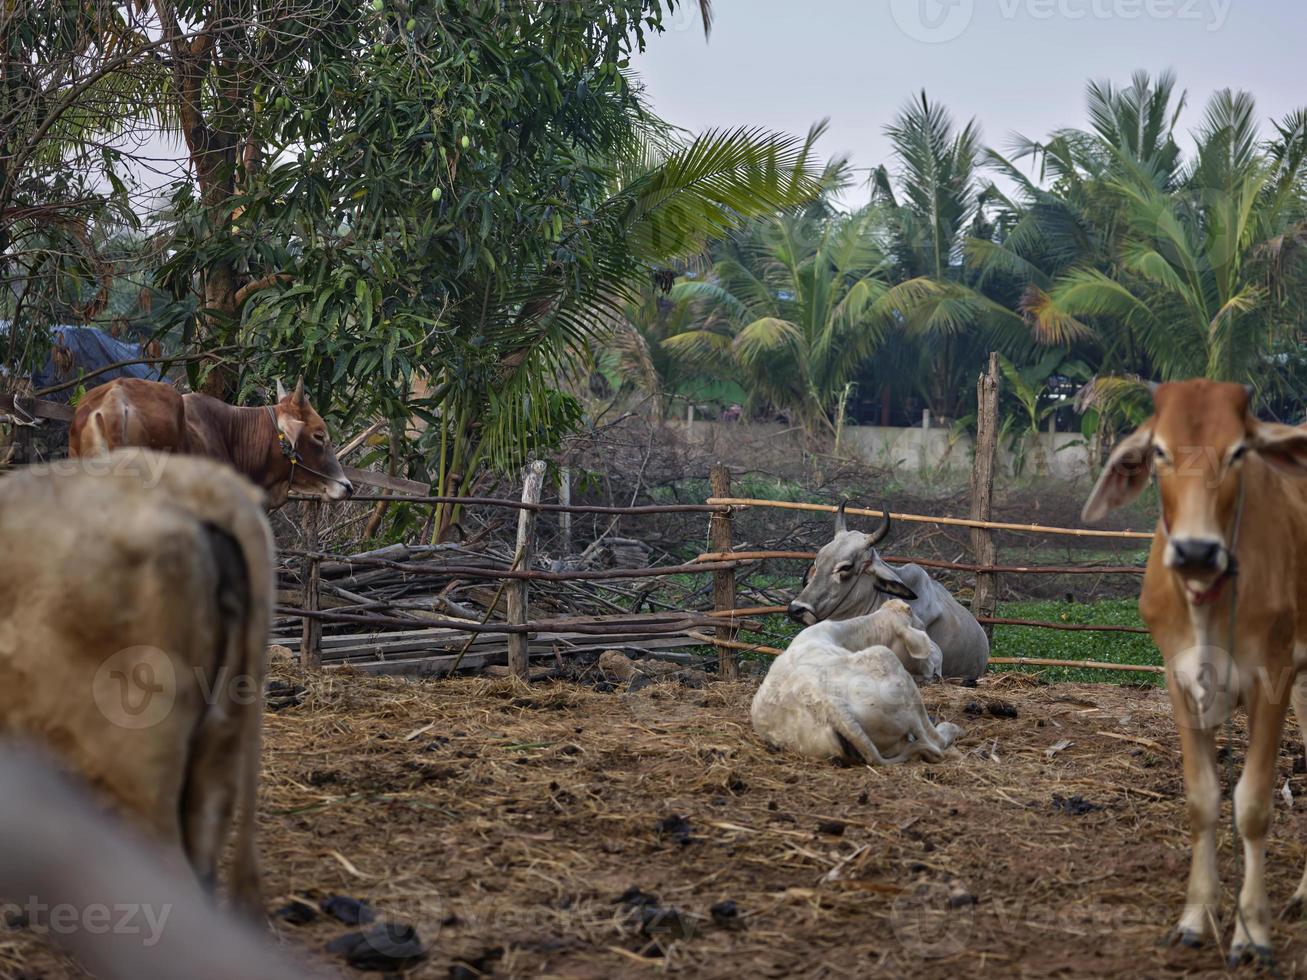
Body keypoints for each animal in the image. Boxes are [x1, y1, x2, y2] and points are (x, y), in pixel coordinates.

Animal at [747, 598, 961, 768]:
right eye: (922, 628)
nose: (937, 663)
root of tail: (825, 701)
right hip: (892, 668)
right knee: (933, 739)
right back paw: (951, 730)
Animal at [1082, 381, 1307, 966]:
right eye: (1159, 451)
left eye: (1239, 451)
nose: (1196, 550)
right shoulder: (1179, 682)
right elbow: (1203, 800)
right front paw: (1195, 919)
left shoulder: (1272, 679)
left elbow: (1251, 805)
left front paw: (1252, 932)